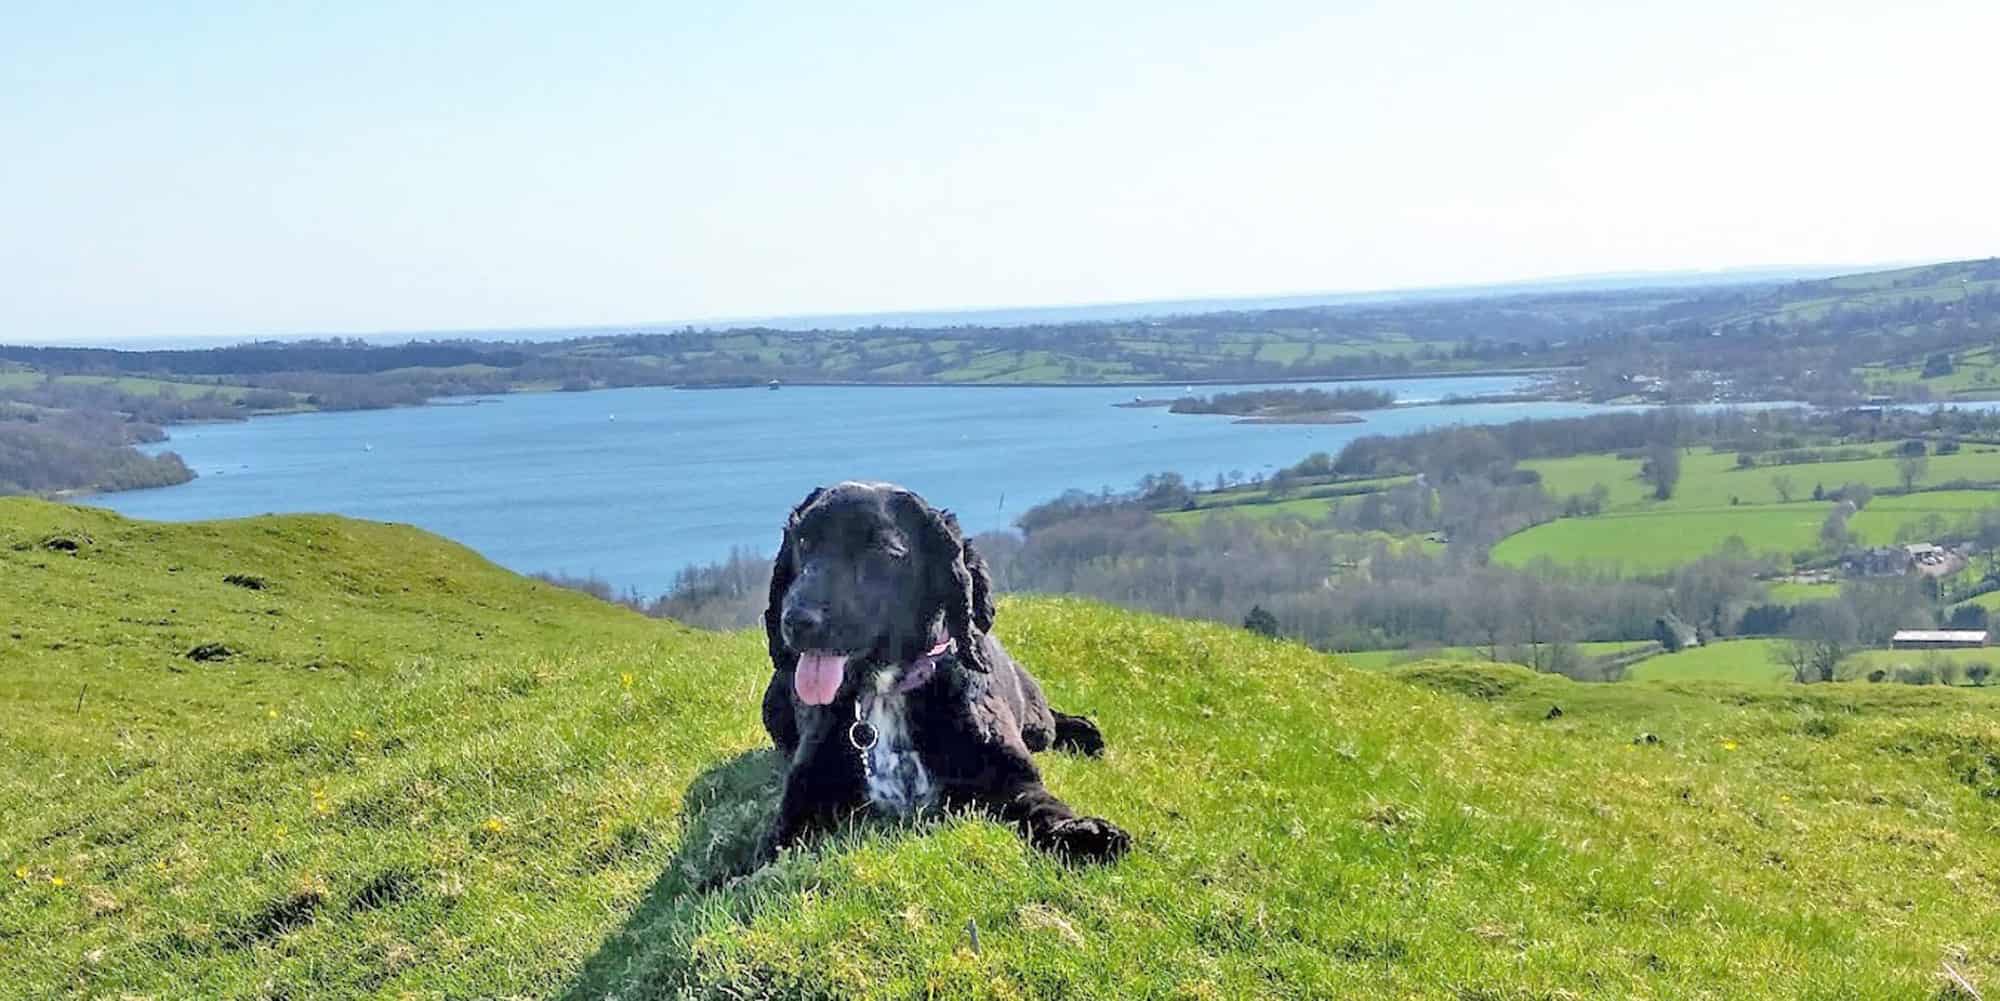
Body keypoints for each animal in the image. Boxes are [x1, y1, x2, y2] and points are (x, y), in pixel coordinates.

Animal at [752, 478, 1128, 860]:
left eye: (883, 551)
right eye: (803, 542)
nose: (796, 621)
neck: (887, 692)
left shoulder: (1012, 775)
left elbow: (1044, 805)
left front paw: (1082, 831)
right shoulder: (802, 799)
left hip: (1036, 720)